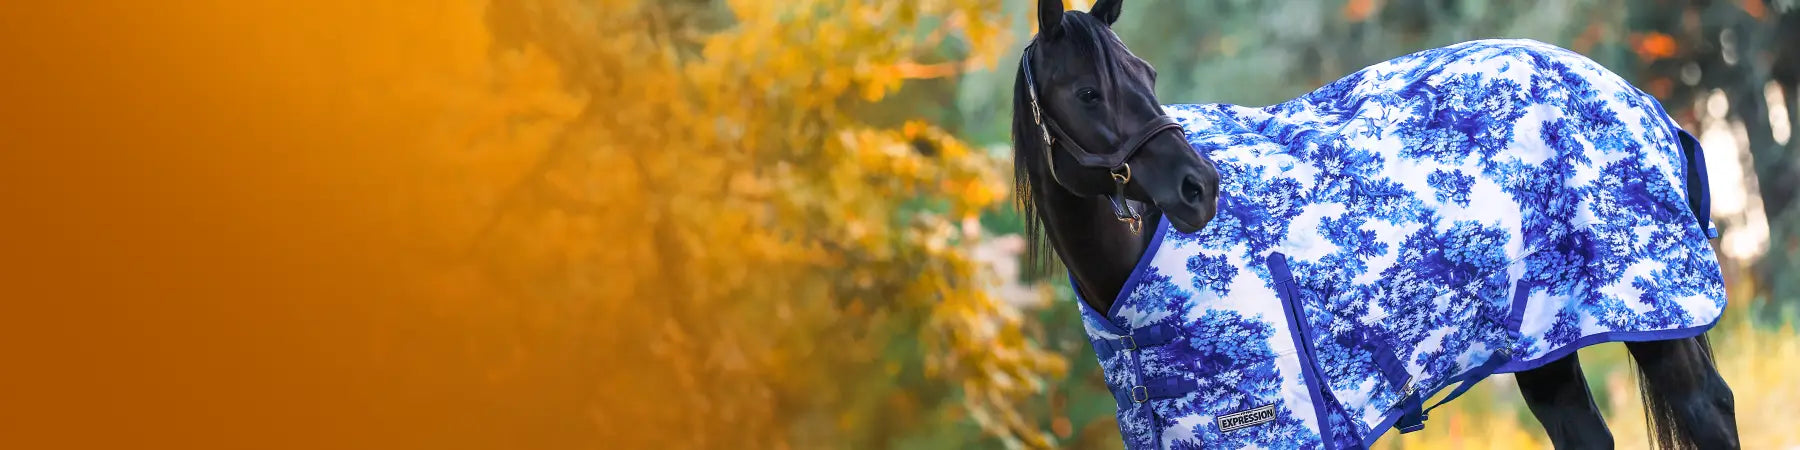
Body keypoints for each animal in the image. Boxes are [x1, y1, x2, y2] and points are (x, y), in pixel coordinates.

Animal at [1011, 1, 1739, 449]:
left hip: (1658, 325)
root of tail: (1637, 98)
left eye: (1148, 75)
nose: (1199, 189)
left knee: (1711, 411)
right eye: (1087, 92)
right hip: (1546, 342)